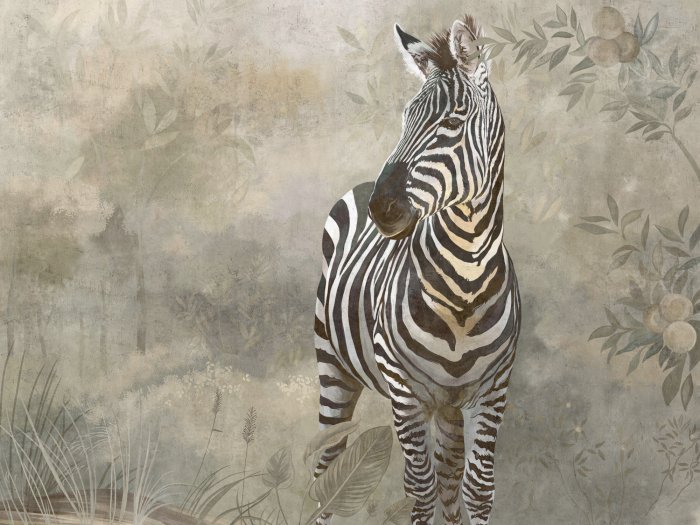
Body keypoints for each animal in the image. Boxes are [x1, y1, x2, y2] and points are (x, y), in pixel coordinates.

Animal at [313, 14, 520, 525]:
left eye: (452, 121)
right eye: (406, 120)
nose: (381, 208)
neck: (464, 285)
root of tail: (358, 185)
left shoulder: (493, 389)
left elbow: (476, 489)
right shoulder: (405, 391)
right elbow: (419, 490)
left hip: (447, 408)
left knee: (448, 481)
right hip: (332, 365)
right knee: (327, 467)